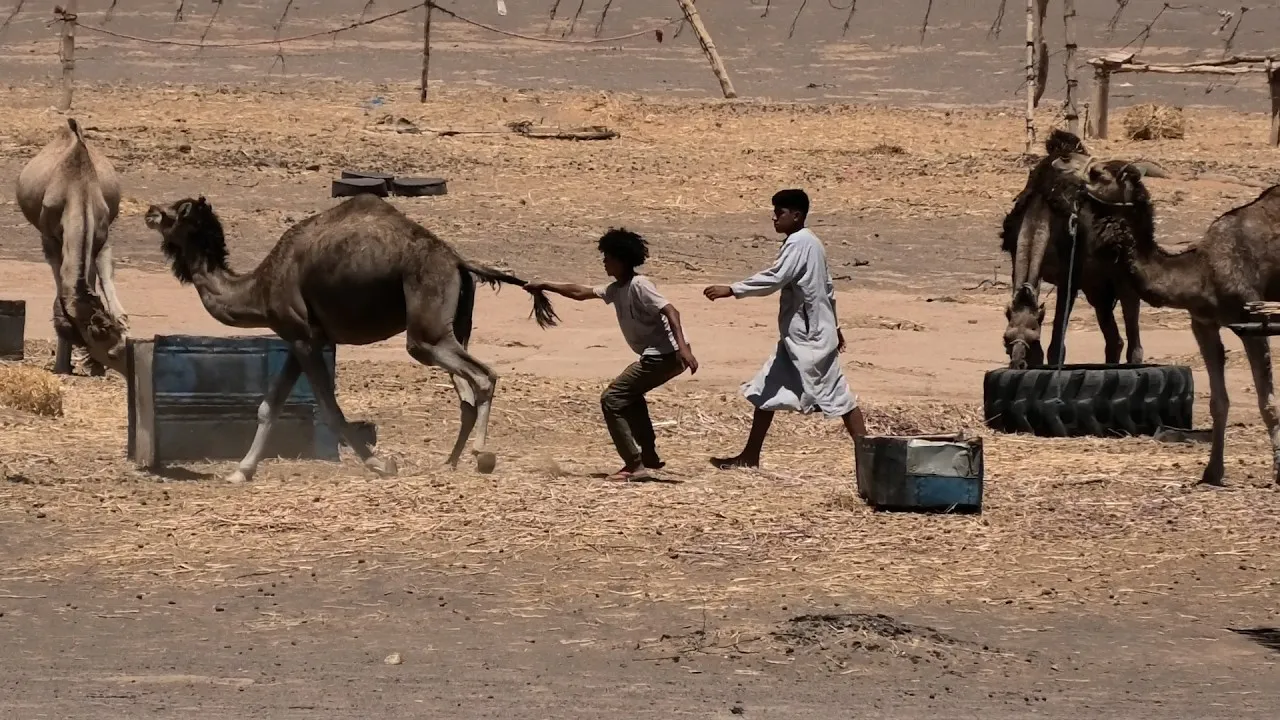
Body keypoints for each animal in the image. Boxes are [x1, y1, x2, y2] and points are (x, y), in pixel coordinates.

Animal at [15, 118, 129, 375]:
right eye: (111, 353)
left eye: (121, 345)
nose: (127, 369)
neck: (77, 188)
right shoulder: (49, 240)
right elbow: (61, 292)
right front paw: (62, 365)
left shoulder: (101, 238)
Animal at [143, 193, 560, 482]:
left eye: (175, 211)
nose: (149, 211)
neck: (260, 288)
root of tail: (458, 260)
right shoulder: (299, 338)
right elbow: (267, 406)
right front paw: (240, 471)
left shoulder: (304, 337)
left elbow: (329, 408)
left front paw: (379, 463)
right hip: (452, 328)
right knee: (466, 393)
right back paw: (450, 461)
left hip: (425, 333)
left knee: (482, 376)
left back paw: (481, 456)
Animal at [1001, 129, 1154, 369]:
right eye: (1006, 338)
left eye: (1034, 336)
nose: (1018, 363)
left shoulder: (1069, 276)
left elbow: (1057, 345)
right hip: (1096, 286)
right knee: (1114, 339)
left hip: (1122, 274)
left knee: (1133, 337)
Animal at [1053, 153, 1280, 487]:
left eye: (1098, 173)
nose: (1060, 164)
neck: (1202, 271)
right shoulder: (1203, 323)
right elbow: (1218, 402)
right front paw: (1212, 472)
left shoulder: (1251, 321)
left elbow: (1268, 403)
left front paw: (1278, 472)